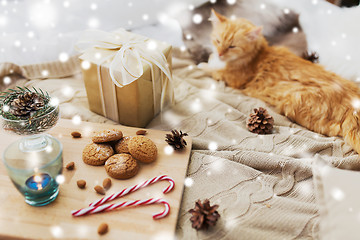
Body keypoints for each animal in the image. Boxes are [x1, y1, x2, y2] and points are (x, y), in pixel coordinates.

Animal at [210, 9, 360, 154]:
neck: (258, 55)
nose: (220, 54)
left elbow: (209, 69)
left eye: (232, 46)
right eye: (217, 41)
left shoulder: (233, 78)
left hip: (295, 104)